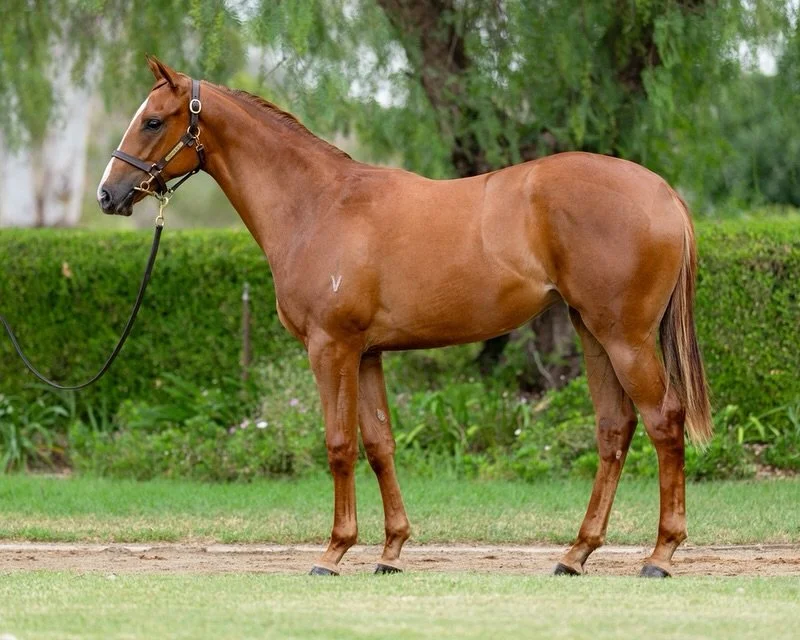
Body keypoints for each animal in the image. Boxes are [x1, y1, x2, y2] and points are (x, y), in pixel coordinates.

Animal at [97, 56, 712, 578]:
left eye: (152, 121)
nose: (108, 195)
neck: (318, 205)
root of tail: (663, 194)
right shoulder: (368, 353)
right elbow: (379, 445)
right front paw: (390, 551)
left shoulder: (331, 348)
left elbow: (339, 445)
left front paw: (334, 551)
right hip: (593, 334)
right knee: (615, 430)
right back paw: (576, 553)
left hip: (625, 338)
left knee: (664, 422)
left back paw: (661, 554)